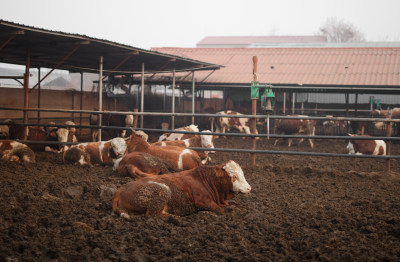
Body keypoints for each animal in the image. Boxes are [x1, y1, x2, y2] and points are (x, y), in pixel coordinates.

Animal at [111, 161, 252, 218]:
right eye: (234, 177)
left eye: (242, 174)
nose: (249, 188)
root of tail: (121, 189)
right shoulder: (203, 203)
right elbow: (221, 211)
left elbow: (235, 206)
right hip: (162, 190)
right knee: (152, 214)